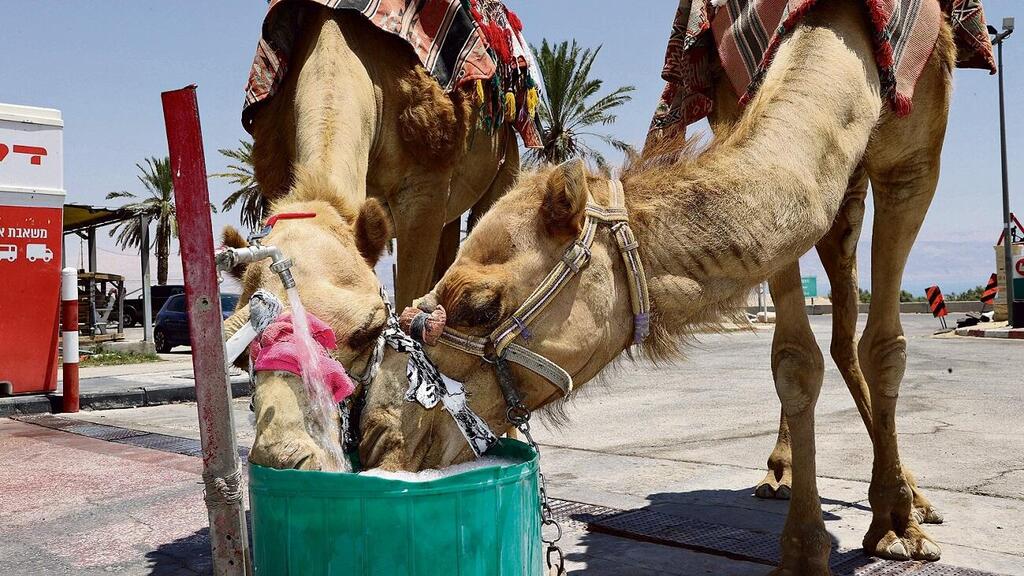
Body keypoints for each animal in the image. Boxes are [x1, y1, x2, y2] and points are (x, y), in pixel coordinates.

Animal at [356, 3, 954, 569]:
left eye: (479, 305)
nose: (376, 434)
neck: (843, 32)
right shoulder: (737, 102)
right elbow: (793, 360)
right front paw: (806, 550)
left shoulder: (916, 159)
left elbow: (885, 349)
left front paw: (897, 528)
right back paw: (783, 475)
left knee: (854, 333)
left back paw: (912, 498)